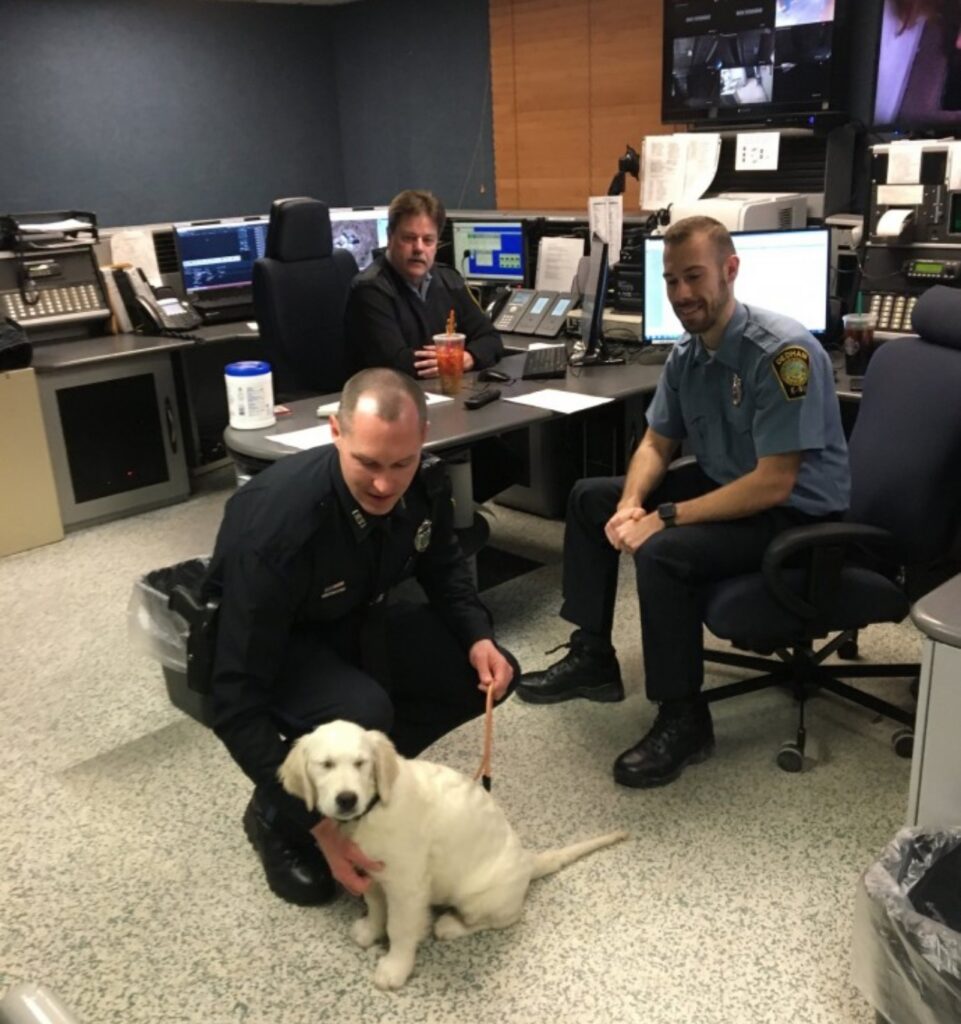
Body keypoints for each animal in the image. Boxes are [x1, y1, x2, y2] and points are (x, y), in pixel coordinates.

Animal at [274, 716, 631, 987]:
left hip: (477, 897)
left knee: (505, 919)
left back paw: (449, 925)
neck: (374, 809)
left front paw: (395, 968)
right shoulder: (372, 871)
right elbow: (375, 906)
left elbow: (400, 928)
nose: (347, 799)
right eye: (325, 765)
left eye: (361, 764)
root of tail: (529, 862)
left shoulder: (407, 886)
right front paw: (370, 930)